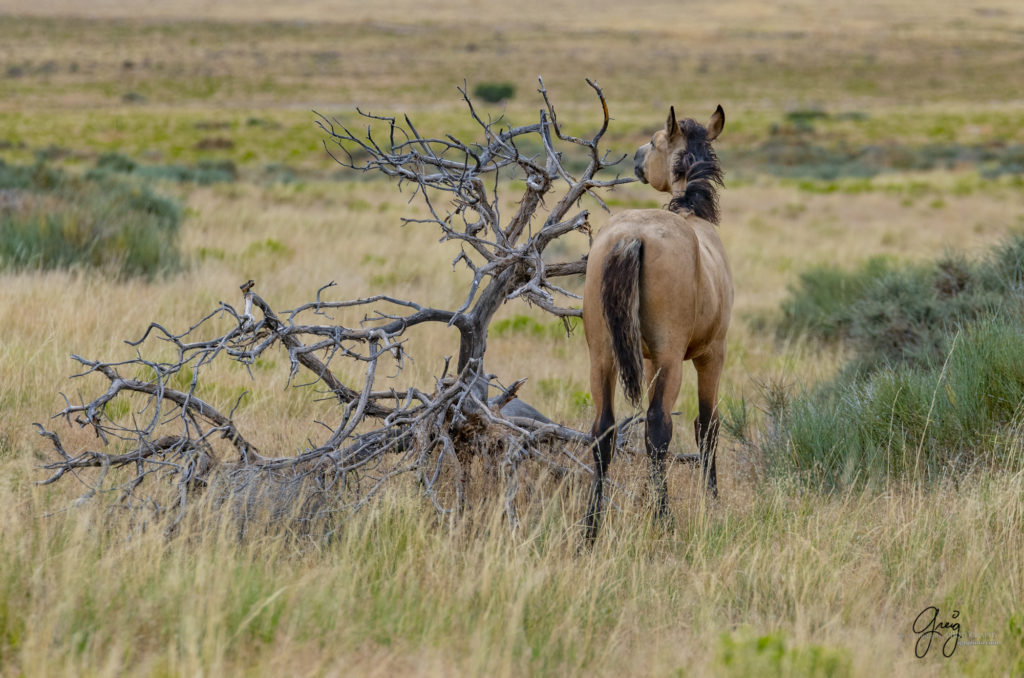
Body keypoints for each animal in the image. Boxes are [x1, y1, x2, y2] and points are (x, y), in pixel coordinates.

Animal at [581, 106, 733, 540]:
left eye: (653, 140)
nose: (635, 158)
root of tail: (632, 236)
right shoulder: (711, 356)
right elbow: (707, 426)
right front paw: (712, 501)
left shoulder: (646, 361)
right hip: (670, 360)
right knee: (658, 429)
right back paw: (664, 519)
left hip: (602, 357)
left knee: (603, 432)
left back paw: (591, 529)